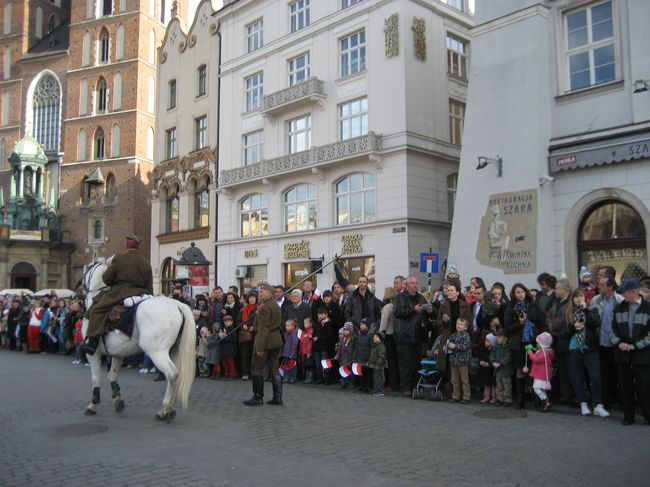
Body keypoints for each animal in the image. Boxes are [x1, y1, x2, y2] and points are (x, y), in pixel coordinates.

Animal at [80, 260, 195, 424]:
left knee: (172, 373)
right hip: (174, 351)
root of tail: (178, 305)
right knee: (175, 375)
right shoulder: (118, 354)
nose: (82, 285)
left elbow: (95, 378)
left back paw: (166, 409)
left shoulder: (93, 353)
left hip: (157, 352)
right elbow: (112, 376)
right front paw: (118, 401)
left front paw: (93, 405)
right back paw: (167, 409)